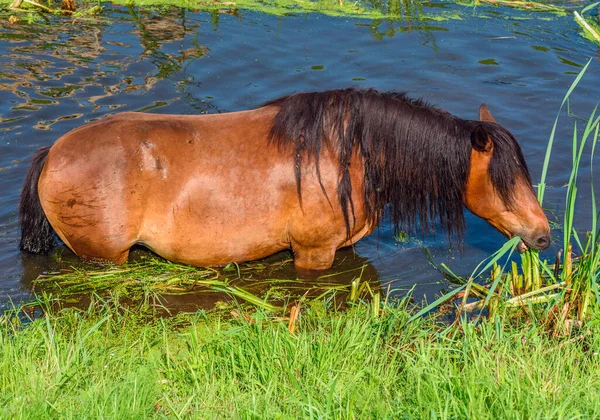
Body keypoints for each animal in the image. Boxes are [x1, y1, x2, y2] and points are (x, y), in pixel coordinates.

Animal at [18, 90, 552, 270]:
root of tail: (52, 154)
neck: (348, 153)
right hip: (105, 257)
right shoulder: (313, 253)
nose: (544, 235)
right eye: (504, 180)